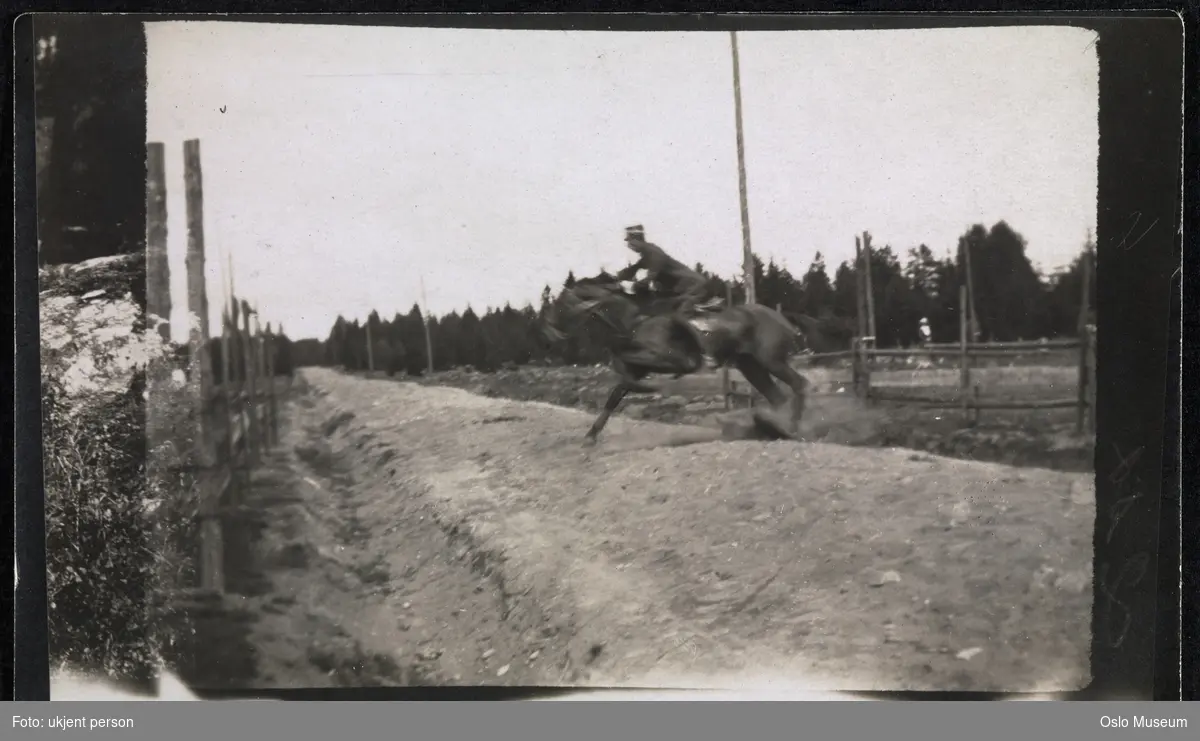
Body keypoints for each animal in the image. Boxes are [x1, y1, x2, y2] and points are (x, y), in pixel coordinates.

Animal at [544, 272, 816, 441]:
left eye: (561, 303)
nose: (549, 331)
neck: (636, 323)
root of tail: (782, 318)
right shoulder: (636, 367)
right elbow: (616, 393)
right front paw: (591, 435)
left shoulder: (676, 361)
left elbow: (631, 376)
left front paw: (652, 387)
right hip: (751, 366)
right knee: (778, 396)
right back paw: (773, 427)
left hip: (771, 361)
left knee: (799, 384)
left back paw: (793, 428)